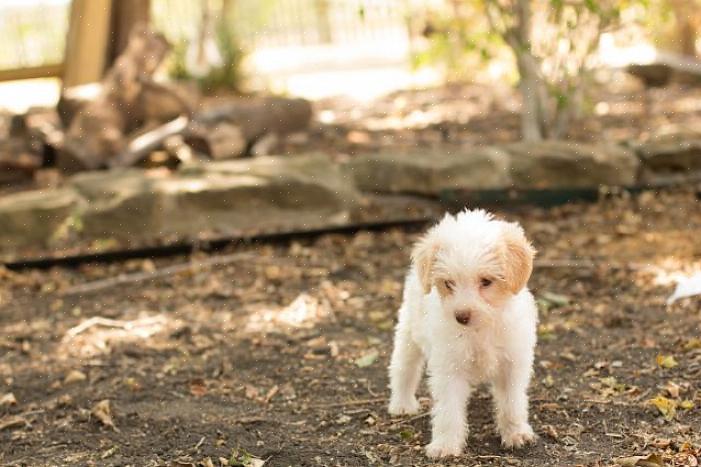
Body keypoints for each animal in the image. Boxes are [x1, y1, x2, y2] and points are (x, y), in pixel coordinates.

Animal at [386, 210, 540, 458]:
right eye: (449, 283)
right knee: (403, 369)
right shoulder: (450, 368)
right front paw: (445, 445)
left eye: (486, 281)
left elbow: (512, 403)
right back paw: (402, 404)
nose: (461, 316)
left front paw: (516, 433)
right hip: (409, 334)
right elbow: (449, 411)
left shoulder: (512, 364)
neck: (480, 328)